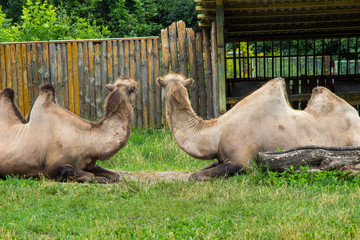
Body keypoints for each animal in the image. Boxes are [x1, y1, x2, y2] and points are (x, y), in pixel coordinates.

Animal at [0, 78, 138, 183]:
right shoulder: (53, 167)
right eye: (132, 88)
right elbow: (90, 176)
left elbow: (115, 175)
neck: (88, 141)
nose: (137, 83)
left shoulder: (89, 163)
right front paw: (100, 179)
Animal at [157, 73, 360, 180]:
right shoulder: (222, 157)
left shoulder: (241, 162)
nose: (158, 78)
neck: (215, 133)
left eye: (162, 84)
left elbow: (196, 176)